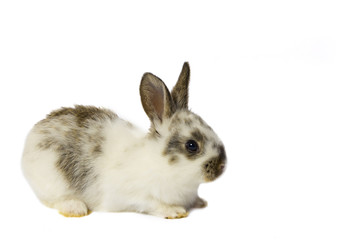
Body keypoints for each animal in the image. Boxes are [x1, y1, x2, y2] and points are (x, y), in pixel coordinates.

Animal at [21, 62, 225, 219]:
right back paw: (75, 208)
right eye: (192, 145)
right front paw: (175, 211)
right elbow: (153, 204)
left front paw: (200, 202)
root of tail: (33, 134)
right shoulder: (136, 196)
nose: (222, 165)